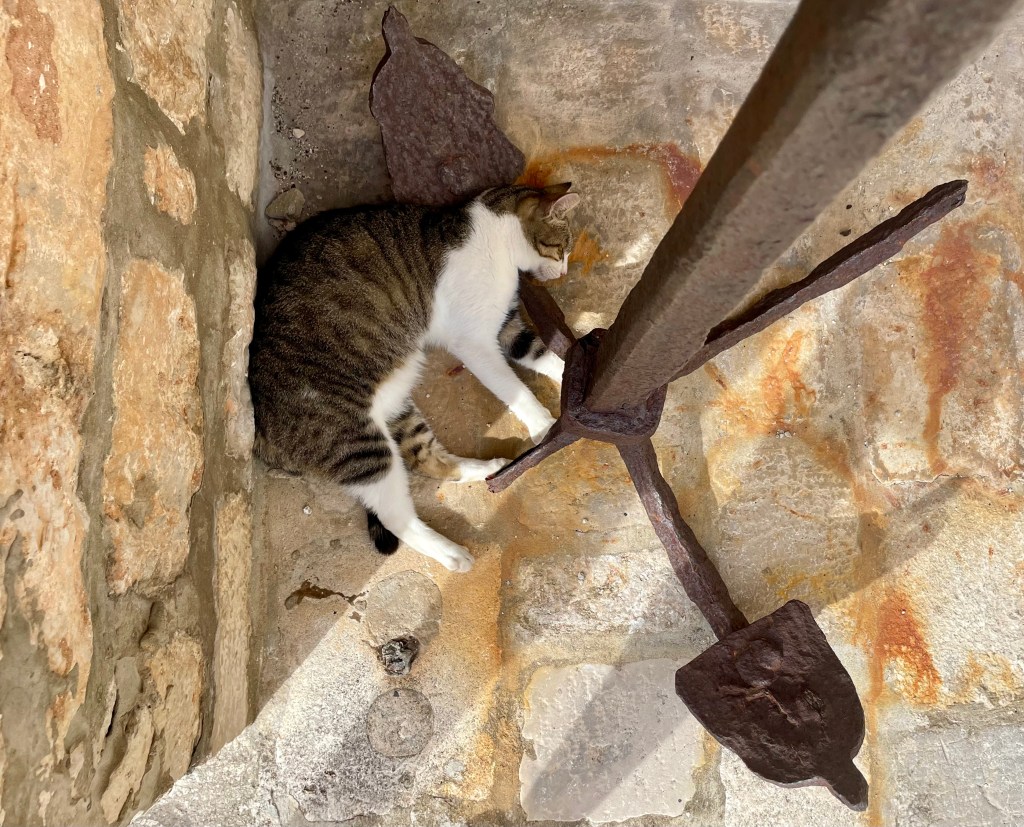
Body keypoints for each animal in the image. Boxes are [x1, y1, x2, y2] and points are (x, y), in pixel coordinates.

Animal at [249, 183, 580, 572]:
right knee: (395, 515)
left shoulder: (506, 328)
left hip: (395, 408)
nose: (563, 271)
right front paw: (544, 424)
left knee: (427, 460)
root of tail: (259, 435)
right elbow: (514, 390)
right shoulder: (474, 340)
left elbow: (543, 354)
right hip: (357, 442)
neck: (493, 236)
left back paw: (485, 468)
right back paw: (451, 554)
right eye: (562, 247)